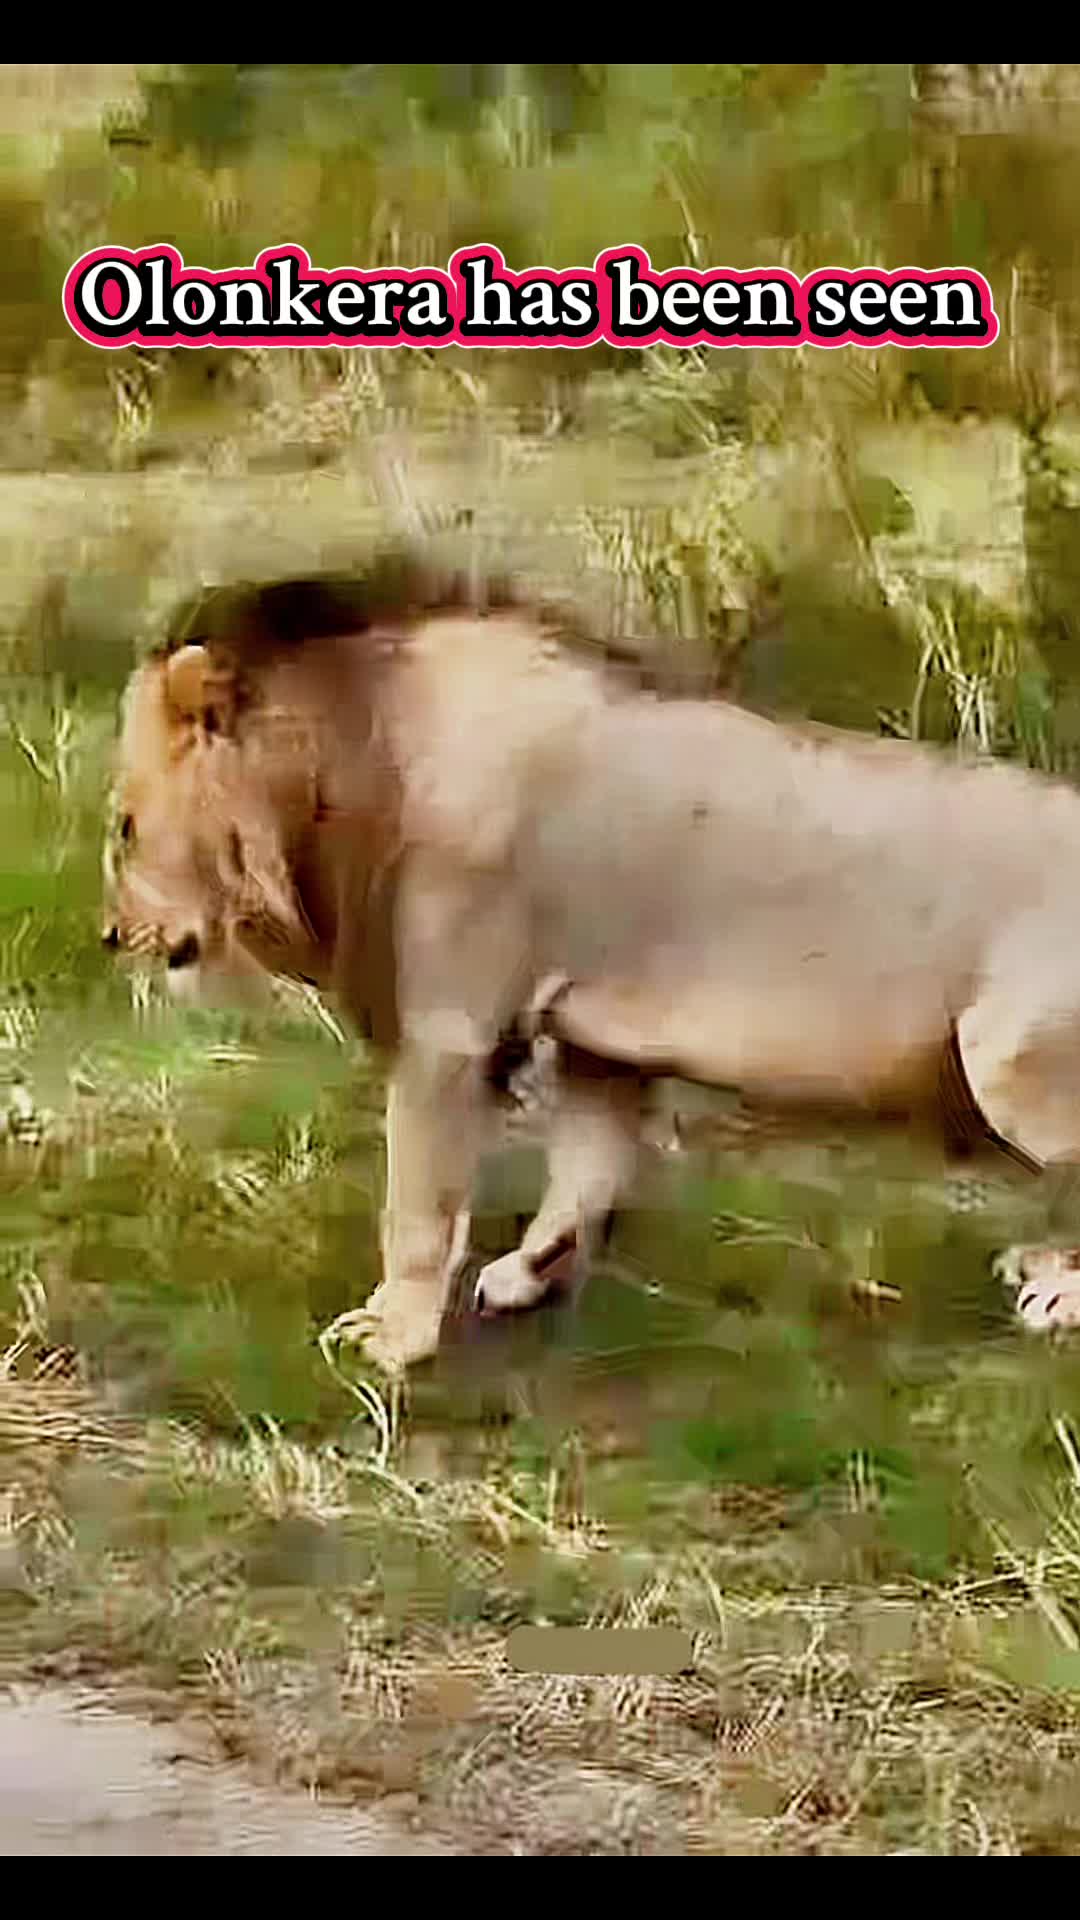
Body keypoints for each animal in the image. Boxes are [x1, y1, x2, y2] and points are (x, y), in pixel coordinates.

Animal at [102, 557, 1080, 1375]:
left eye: (124, 825)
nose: (111, 936)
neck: (352, 756)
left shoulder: (448, 1030)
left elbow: (417, 1204)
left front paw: (391, 1337)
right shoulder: (599, 1039)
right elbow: (587, 1166)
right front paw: (527, 1276)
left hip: (1009, 1063)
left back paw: (1057, 1294)